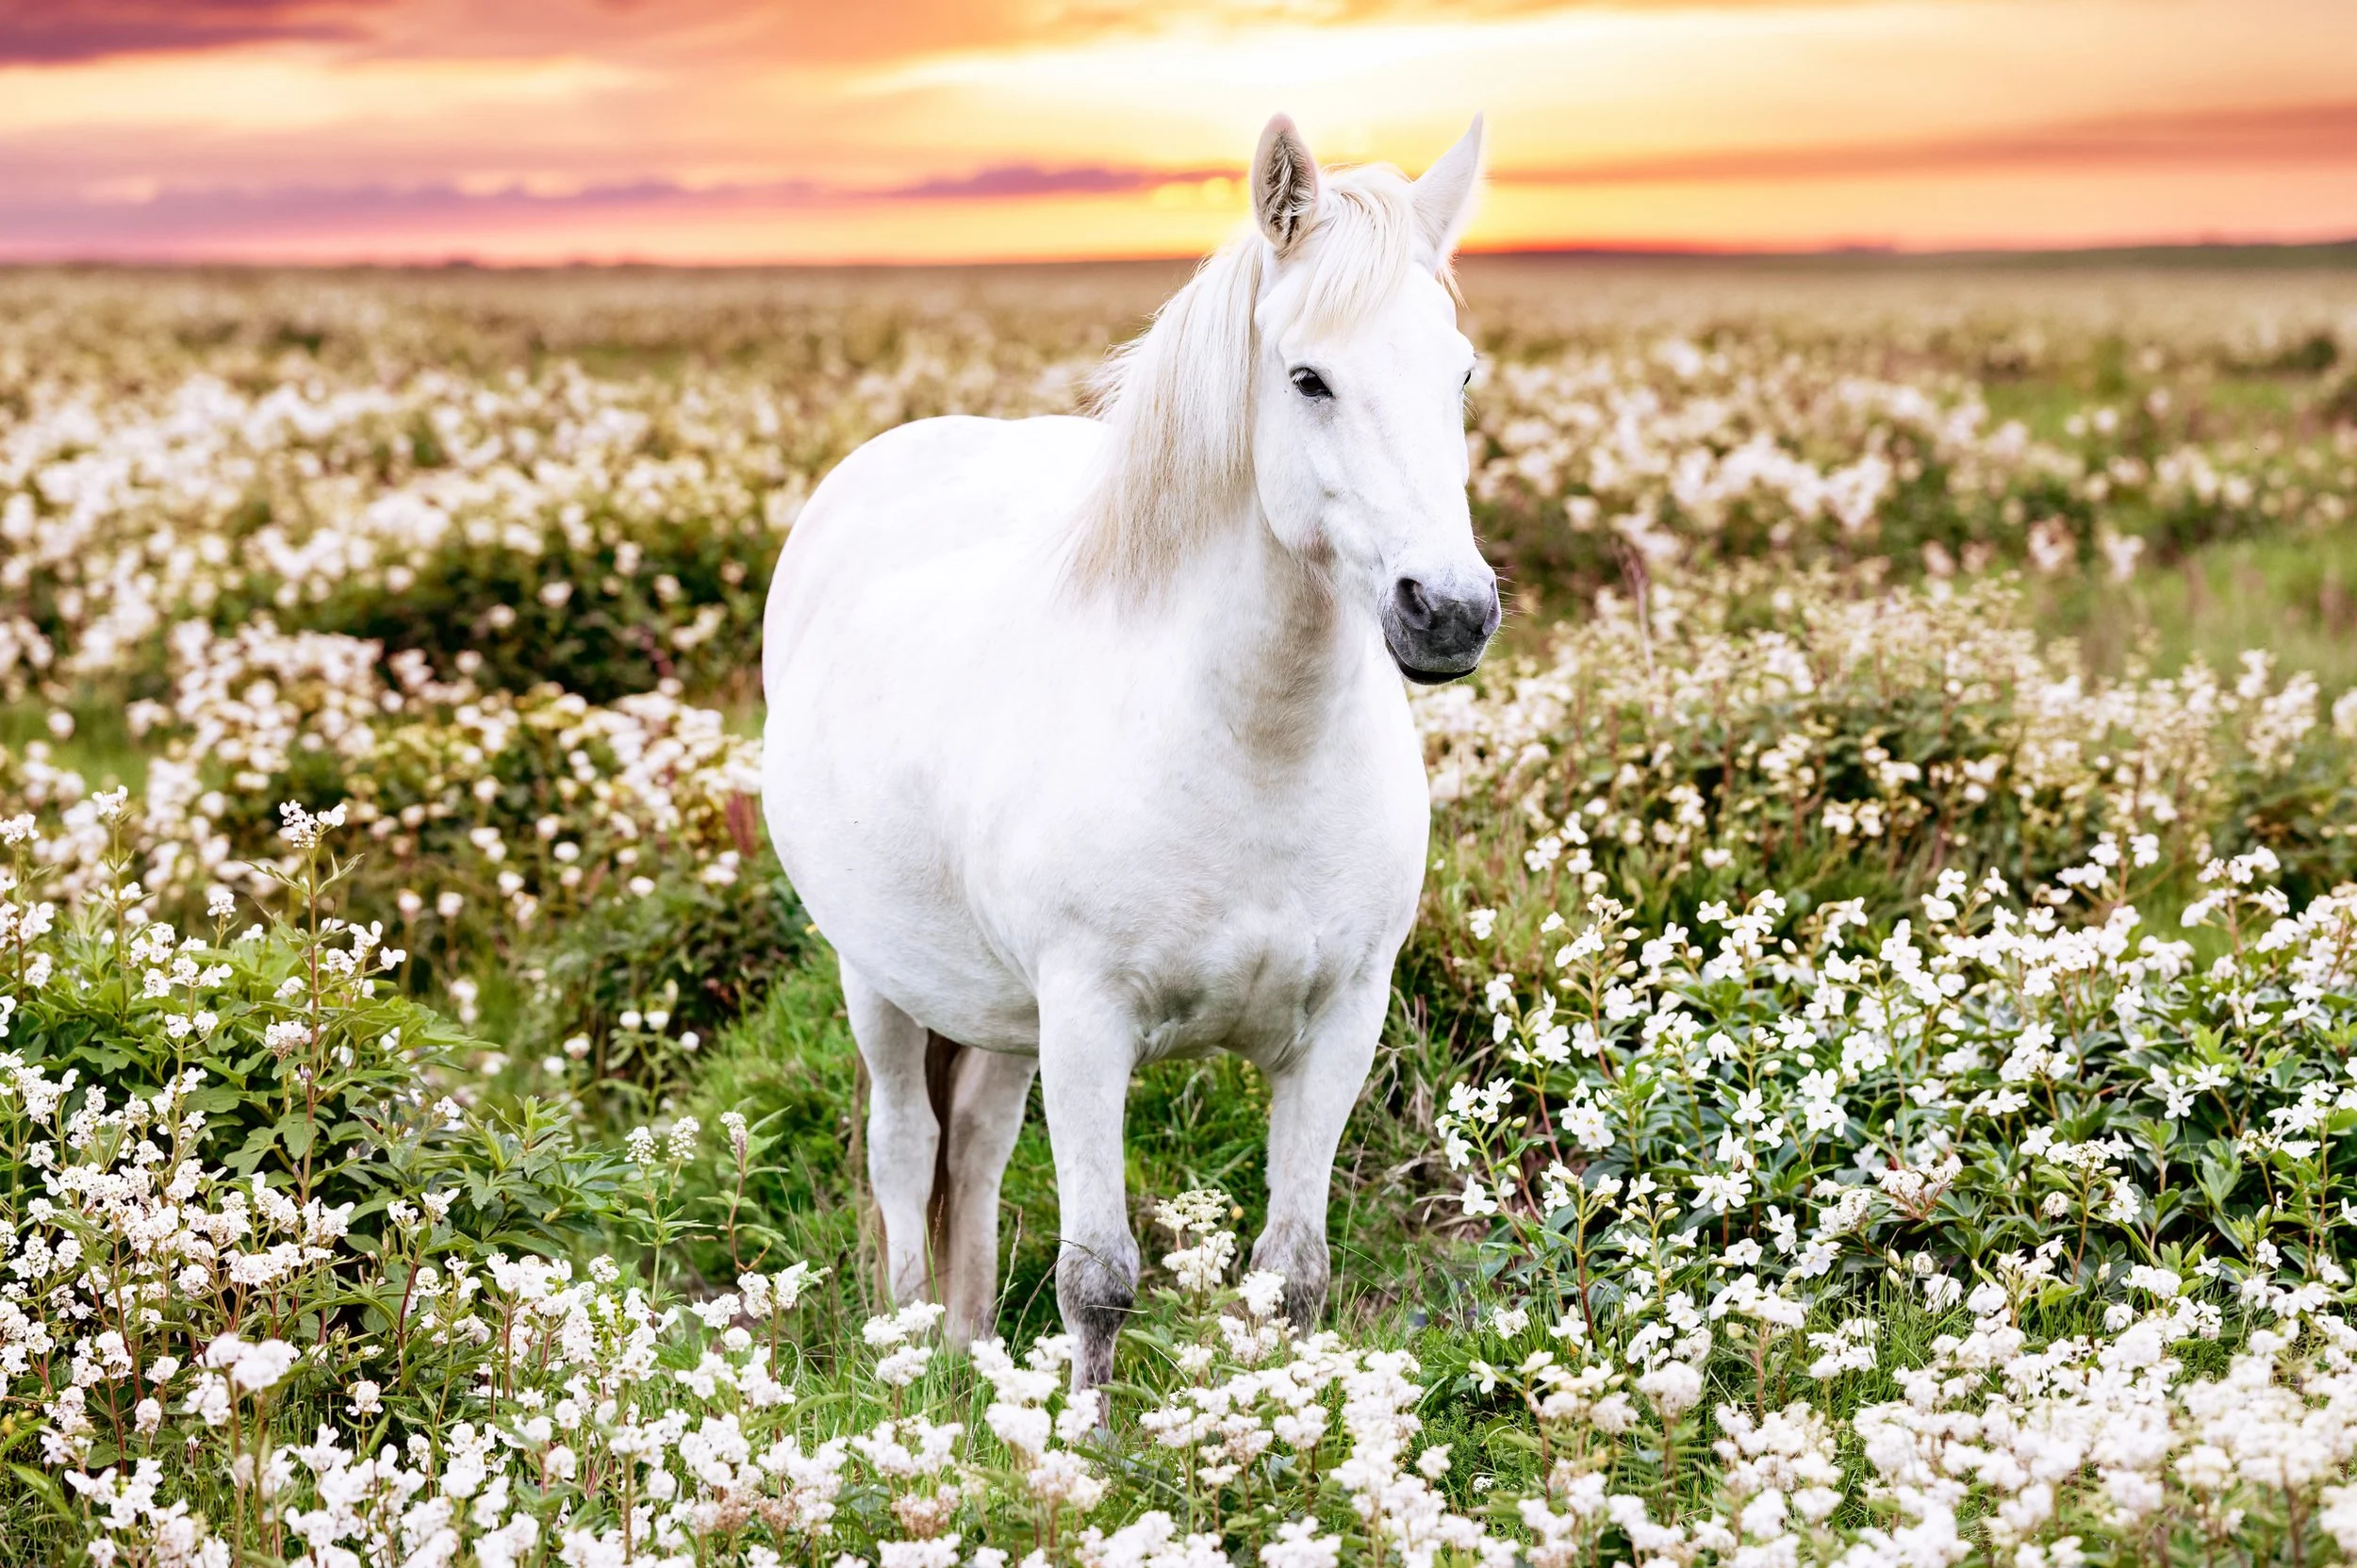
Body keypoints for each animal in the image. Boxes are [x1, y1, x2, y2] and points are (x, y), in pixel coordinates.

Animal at [761, 112, 1498, 1400]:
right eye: (1307, 378)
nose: (1447, 611)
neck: (1253, 748)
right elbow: (1097, 1277)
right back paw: (908, 1357)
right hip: (878, 975)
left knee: (978, 1144)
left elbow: (1293, 1275)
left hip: (998, 1004)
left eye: (1457, 374)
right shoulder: (1090, 1020)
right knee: (906, 1149)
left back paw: (968, 1345)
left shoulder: (1342, 1022)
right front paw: (1087, 1445)